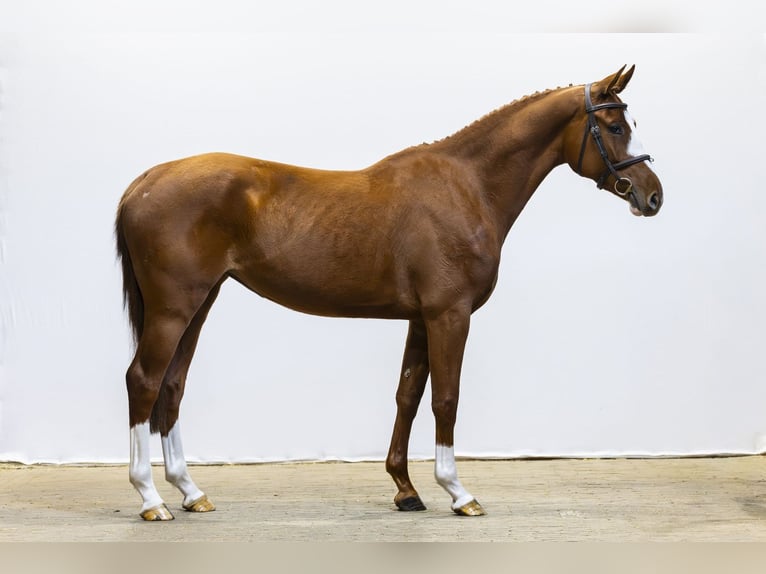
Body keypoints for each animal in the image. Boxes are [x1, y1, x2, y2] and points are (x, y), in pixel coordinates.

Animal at [115, 65, 663, 520]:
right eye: (614, 127)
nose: (652, 195)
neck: (467, 186)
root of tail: (144, 182)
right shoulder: (449, 315)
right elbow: (446, 398)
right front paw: (458, 492)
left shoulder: (421, 318)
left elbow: (408, 395)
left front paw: (406, 490)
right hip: (173, 308)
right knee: (143, 380)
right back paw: (150, 499)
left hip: (199, 304)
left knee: (172, 385)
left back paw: (191, 492)